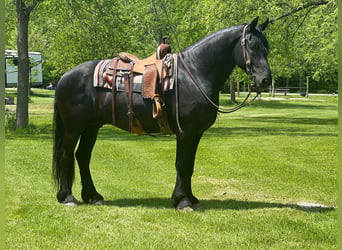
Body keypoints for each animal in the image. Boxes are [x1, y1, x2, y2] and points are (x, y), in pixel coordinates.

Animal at [52, 16, 272, 210]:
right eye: (251, 45)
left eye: (267, 47)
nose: (265, 80)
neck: (194, 72)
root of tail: (65, 77)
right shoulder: (186, 132)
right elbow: (182, 164)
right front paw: (182, 201)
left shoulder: (196, 133)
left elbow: (190, 165)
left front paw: (190, 198)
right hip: (74, 127)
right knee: (65, 154)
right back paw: (67, 197)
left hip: (91, 126)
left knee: (82, 156)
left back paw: (93, 196)